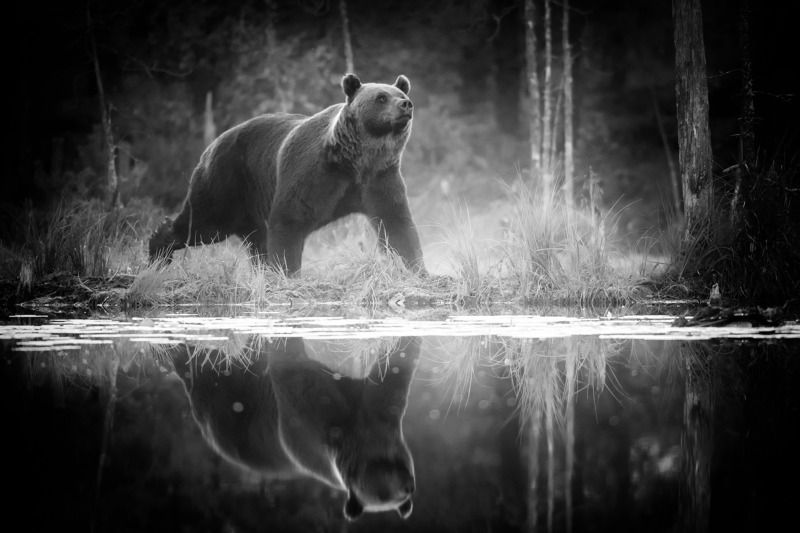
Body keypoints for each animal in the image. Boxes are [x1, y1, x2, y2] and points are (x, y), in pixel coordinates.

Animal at [149, 73, 425, 275]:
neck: (354, 160)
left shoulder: (379, 178)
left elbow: (396, 224)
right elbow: (289, 221)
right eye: (381, 97)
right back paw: (158, 254)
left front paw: (418, 269)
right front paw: (288, 272)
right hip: (226, 181)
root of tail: (213, 142)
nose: (406, 105)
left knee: (254, 240)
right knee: (202, 222)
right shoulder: (313, 173)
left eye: (401, 93)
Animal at [170, 335, 421, 521]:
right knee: (197, 366)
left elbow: (395, 370)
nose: (403, 483)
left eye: (405, 487)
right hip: (222, 401)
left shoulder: (381, 411)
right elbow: (292, 371)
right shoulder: (310, 426)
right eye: (380, 491)